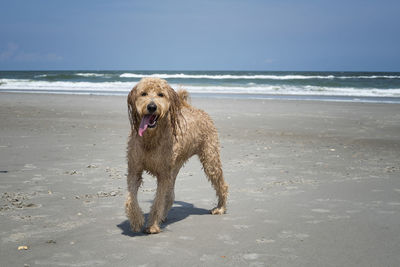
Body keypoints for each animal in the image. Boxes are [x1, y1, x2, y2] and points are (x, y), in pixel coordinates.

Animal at [125, 77, 228, 234]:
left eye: (161, 94)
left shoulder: (163, 175)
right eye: (143, 93)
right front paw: (136, 220)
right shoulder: (134, 170)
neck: (151, 139)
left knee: (222, 184)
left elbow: (158, 200)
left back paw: (220, 207)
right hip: (174, 167)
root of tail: (196, 110)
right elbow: (131, 198)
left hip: (210, 159)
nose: (152, 107)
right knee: (170, 195)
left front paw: (153, 225)